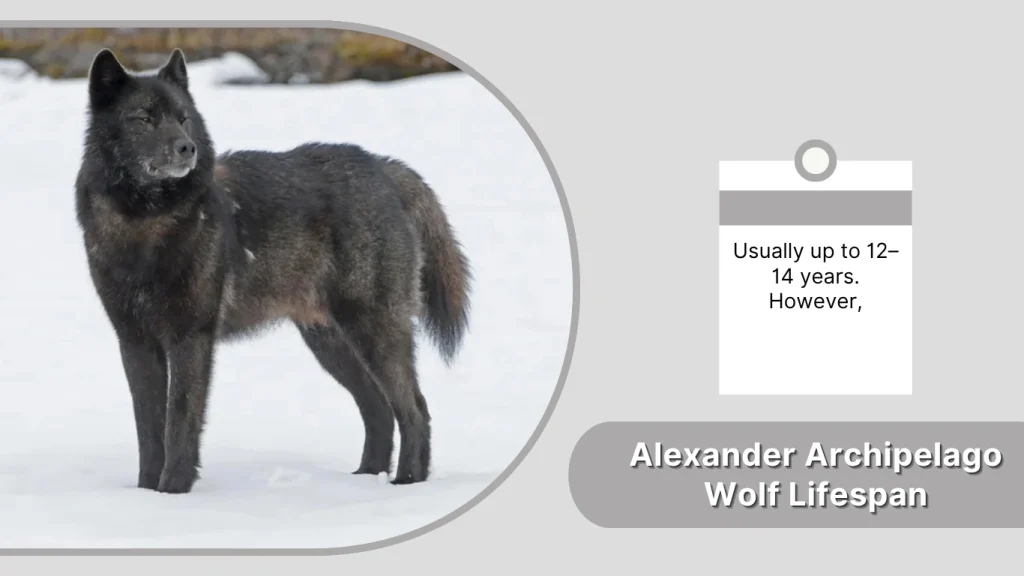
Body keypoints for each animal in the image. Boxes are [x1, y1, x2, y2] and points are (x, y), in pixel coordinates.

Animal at [74, 48, 471, 494]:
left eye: (183, 118)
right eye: (143, 118)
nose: (186, 149)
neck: (146, 225)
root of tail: (384, 167)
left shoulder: (191, 338)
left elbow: (179, 422)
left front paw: (173, 492)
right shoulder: (135, 342)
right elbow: (149, 429)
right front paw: (145, 495)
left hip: (372, 331)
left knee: (414, 408)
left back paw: (406, 484)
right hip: (329, 342)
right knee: (378, 409)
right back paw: (365, 480)